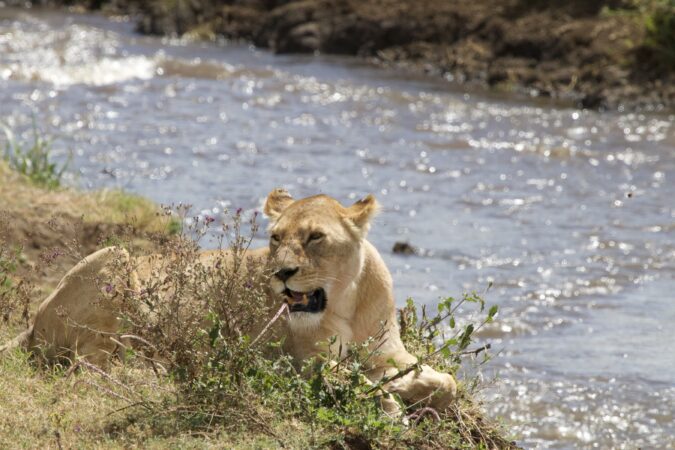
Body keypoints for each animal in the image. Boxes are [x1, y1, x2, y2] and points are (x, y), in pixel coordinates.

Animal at [1, 189, 456, 412]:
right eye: (275, 238)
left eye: (315, 237)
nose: (281, 273)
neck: (344, 301)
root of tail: (33, 322)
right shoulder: (305, 363)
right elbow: (358, 382)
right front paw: (391, 404)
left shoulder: (388, 353)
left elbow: (446, 383)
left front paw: (412, 388)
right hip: (115, 256)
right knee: (89, 367)